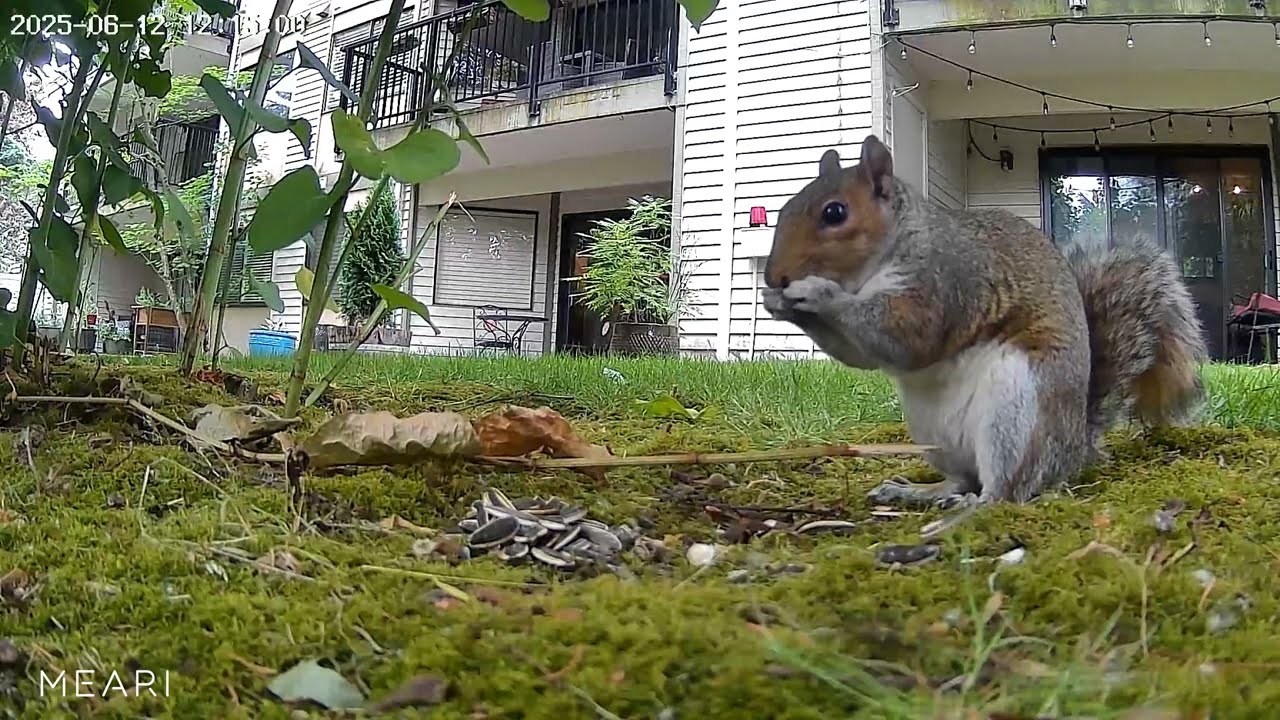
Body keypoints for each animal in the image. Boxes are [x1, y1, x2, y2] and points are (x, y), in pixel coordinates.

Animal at [762, 134, 1207, 536]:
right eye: (784, 207)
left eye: (835, 212)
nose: (773, 276)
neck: (891, 250)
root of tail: (1072, 450)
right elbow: (862, 355)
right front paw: (777, 302)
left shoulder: (945, 283)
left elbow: (904, 338)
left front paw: (817, 293)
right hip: (931, 429)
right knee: (962, 479)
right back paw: (916, 493)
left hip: (1015, 411)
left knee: (1007, 490)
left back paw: (965, 513)